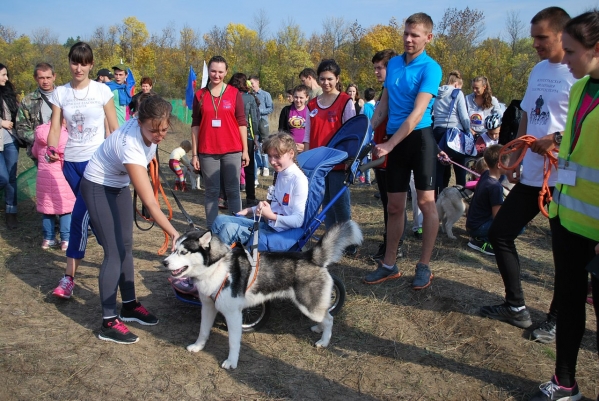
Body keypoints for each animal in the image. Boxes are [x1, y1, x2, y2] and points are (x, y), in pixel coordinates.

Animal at [162, 219, 364, 368]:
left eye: (183, 252)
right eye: (174, 250)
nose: (165, 262)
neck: (216, 267)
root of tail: (309, 256)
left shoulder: (233, 314)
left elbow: (233, 342)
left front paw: (231, 362)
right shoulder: (208, 307)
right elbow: (203, 331)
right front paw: (198, 347)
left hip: (308, 305)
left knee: (329, 318)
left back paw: (324, 341)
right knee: (325, 316)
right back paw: (319, 329)